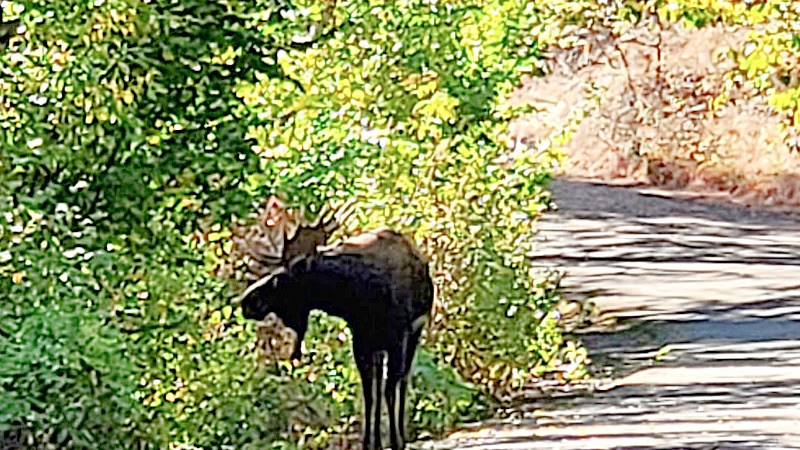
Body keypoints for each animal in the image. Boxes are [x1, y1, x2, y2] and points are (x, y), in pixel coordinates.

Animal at [233, 197, 434, 450]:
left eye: (280, 279)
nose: (247, 301)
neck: (356, 296)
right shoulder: (361, 340)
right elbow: (370, 394)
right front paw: (368, 443)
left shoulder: (398, 337)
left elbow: (390, 389)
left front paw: (396, 441)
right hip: (380, 345)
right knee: (382, 385)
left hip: (414, 333)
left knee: (402, 381)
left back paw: (401, 434)